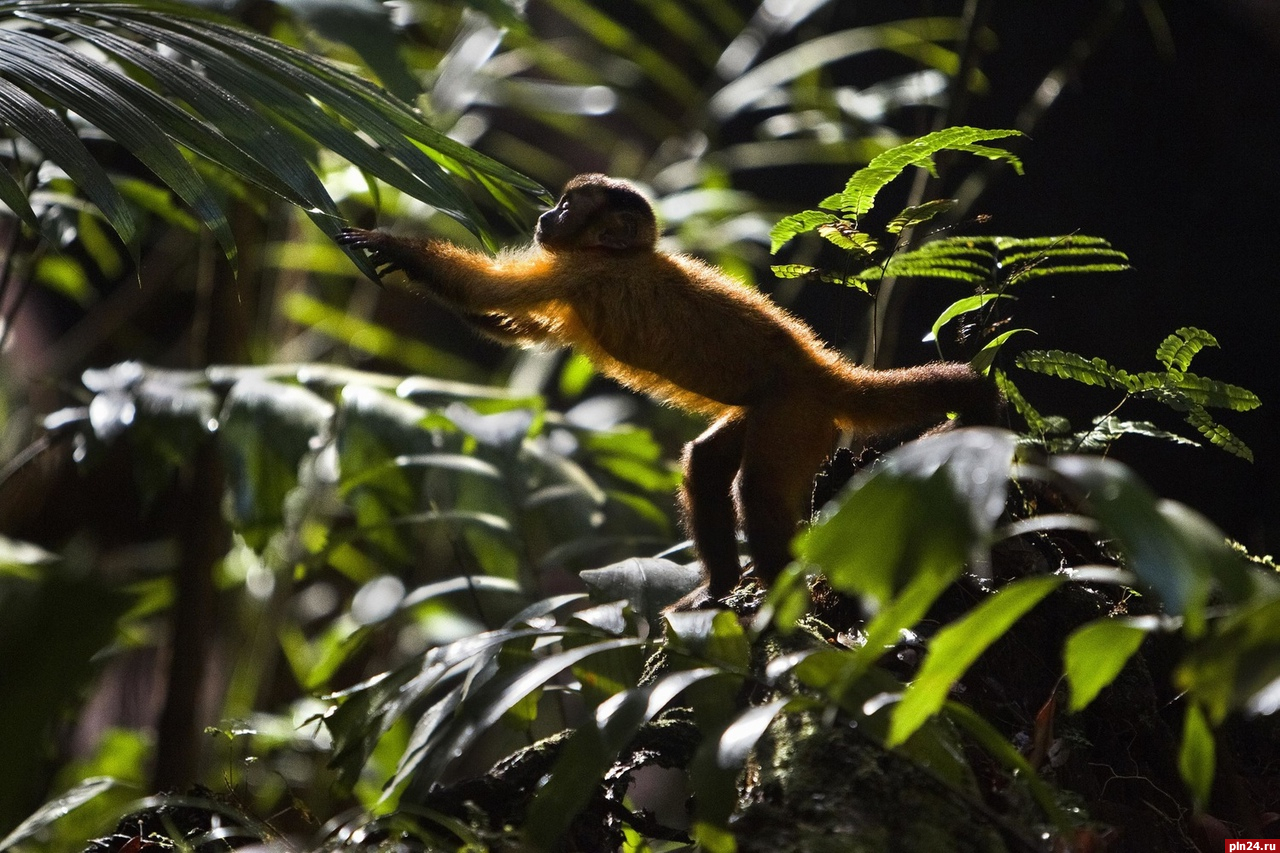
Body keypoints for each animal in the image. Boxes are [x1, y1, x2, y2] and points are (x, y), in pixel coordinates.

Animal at [335, 174, 993, 604]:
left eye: (568, 207)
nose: (547, 218)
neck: (618, 254)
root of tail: (823, 371)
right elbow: (521, 328)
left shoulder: (584, 270)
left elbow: (490, 292)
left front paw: (393, 246)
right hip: (780, 416)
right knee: (705, 464)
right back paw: (722, 586)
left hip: (794, 415)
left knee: (758, 490)